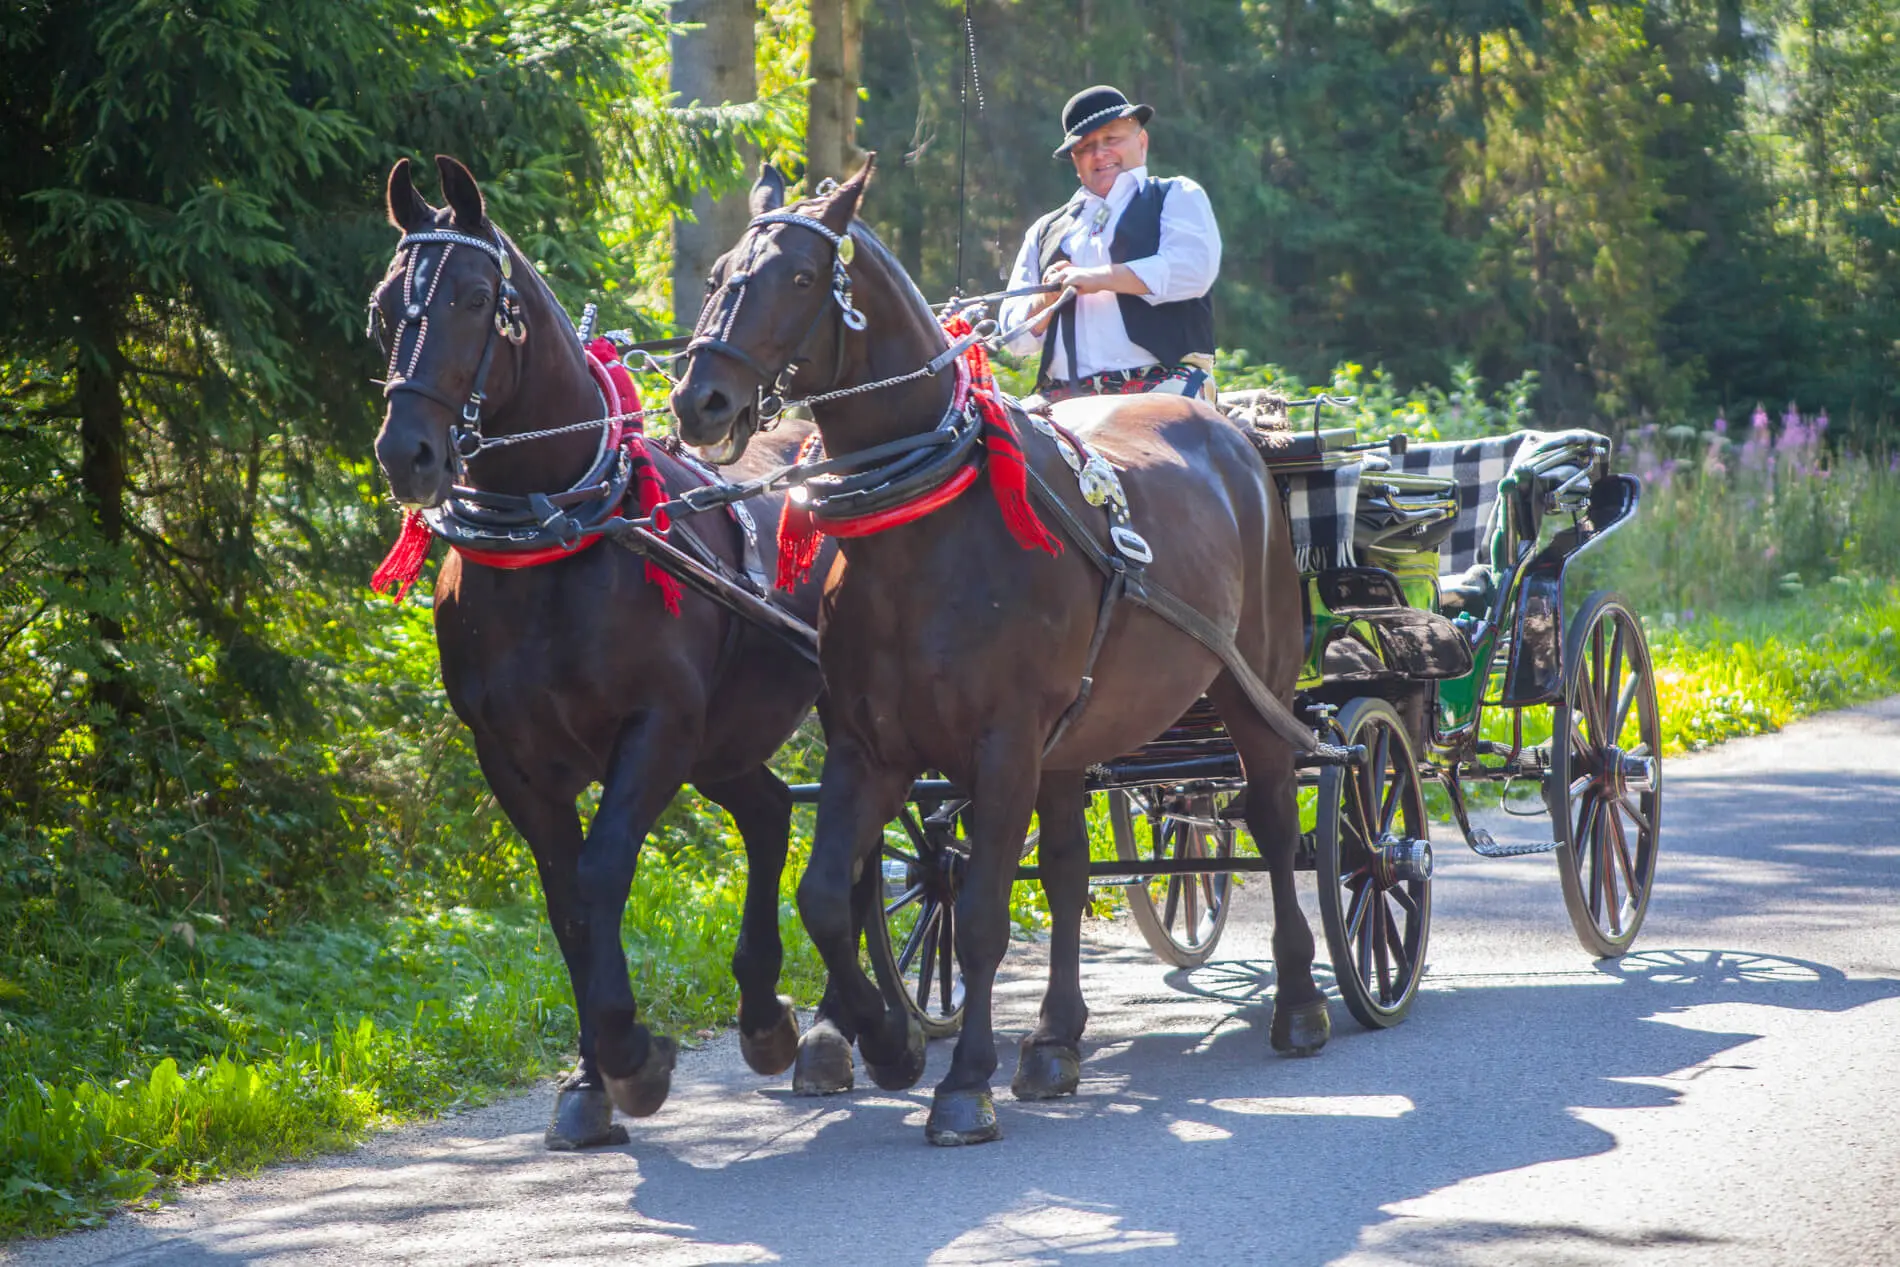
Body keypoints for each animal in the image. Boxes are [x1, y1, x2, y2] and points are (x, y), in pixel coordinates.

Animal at [369, 155, 834, 1148]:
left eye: (475, 297)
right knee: (772, 810)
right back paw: (768, 1014)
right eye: (385, 305)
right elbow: (566, 904)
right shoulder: (510, 754)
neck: (554, 538)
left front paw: (630, 1054)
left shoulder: (655, 727)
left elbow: (602, 870)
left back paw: (836, 1026)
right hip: (725, 739)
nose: (406, 454)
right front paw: (590, 1080)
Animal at [670, 158, 1329, 1146]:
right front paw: (884, 1040)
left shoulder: (1003, 744)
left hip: (1254, 692)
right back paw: (1054, 1039)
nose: (698, 401)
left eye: (798, 276)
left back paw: (1299, 1002)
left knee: (1278, 823)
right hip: (1074, 738)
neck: (926, 522)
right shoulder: (870, 747)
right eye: (717, 276)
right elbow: (828, 894)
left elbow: (981, 911)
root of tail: (1236, 440)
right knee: (1066, 866)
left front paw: (963, 1082)